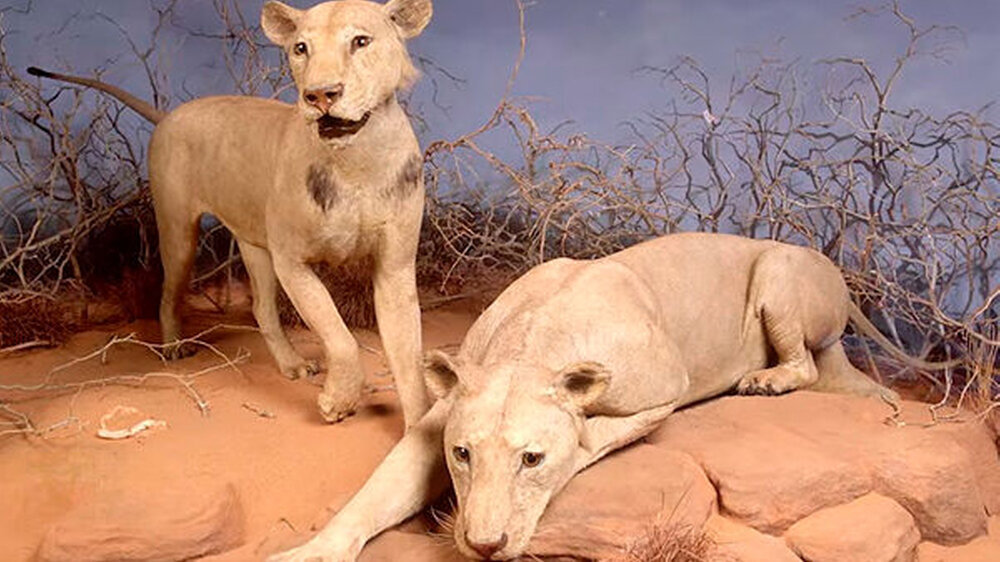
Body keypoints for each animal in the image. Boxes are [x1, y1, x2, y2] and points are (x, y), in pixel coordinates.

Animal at [28, 0, 435, 426]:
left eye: (360, 41)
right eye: (301, 48)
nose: (320, 95)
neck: (357, 162)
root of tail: (169, 115)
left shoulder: (394, 267)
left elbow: (408, 356)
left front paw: (418, 429)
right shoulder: (292, 260)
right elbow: (339, 335)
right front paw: (339, 401)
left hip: (254, 244)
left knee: (261, 307)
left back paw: (291, 364)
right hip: (179, 232)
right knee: (168, 293)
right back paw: (173, 348)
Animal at [268, 232, 958, 561]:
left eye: (532, 460)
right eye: (463, 455)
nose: (486, 545)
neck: (529, 347)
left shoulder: (663, 389)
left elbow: (591, 436)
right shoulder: (440, 419)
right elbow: (375, 494)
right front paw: (313, 552)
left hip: (780, 274)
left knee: (810, 366)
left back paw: (764, 379)